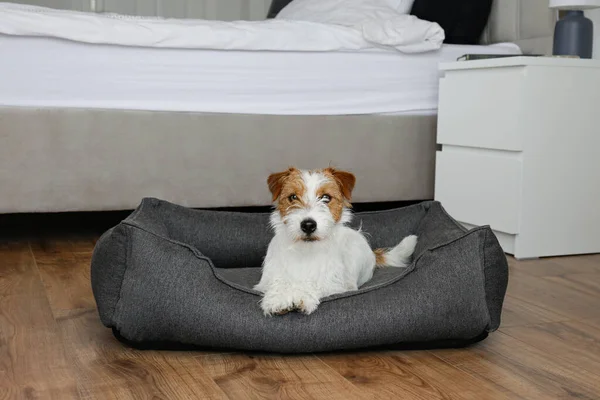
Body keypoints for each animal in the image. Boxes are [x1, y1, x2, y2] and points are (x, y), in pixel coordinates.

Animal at [253, 166, 418, 316]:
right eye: (293, 197)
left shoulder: (334, 285)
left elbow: (314, 283)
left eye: (326, 197)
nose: (308, 225)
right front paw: (277, 298)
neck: (305, 250)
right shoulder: (269, 279)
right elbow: (278, 282)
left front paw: (302, 295)